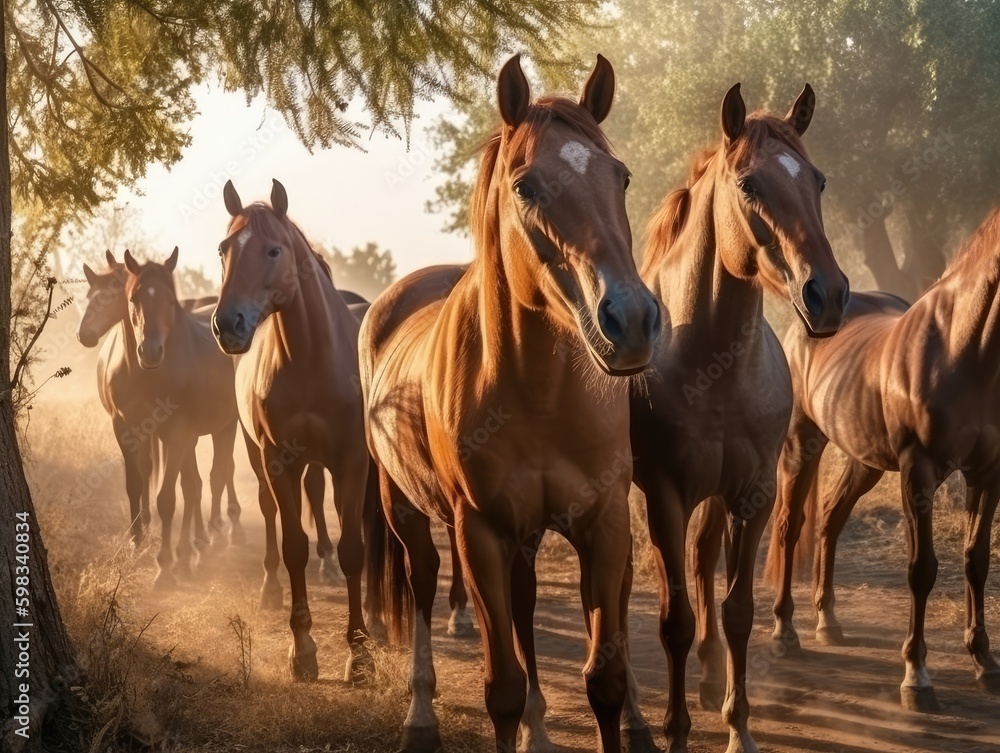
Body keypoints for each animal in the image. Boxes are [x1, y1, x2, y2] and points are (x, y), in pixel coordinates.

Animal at [212, 179, 372, 682]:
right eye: (223, 249)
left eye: (273, 250)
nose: (227, 324)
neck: (313, 357)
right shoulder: (278, 459)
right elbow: (293, 544)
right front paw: (302, 649)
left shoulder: (352, 460)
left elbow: (354, 547)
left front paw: (360, 652)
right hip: (256, 453)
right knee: (270, 512)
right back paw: (270, 588)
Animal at [362, 54, 661, 753]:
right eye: (525, 187)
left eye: (622, 177)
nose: (632, 320)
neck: (539, 391)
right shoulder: (482, 532)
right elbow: (500, 686)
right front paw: (512, 716)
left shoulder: (603, 522)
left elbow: (604, 679)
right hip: (406, 508)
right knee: (422, 582)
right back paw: (422, 714)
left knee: (524, 610)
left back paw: (541, 727)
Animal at [629, 83, 849, 753]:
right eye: (750, 184)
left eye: (818, 181)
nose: (828, 295)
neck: (713, 367)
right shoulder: (665, 496)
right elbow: (674, 618)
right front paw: (676, 732)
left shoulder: (752, 494)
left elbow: (737, 611)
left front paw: (738, 727)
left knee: (705, 561)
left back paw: (708, 677)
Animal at [764, 209, 1000, 711]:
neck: (965, 352)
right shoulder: (919, 471)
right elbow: (922, 568)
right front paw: (916, 676)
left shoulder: (986, 474)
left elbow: (976, 561)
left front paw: (985, 663)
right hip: (801, 443)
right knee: (791, 528)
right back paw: (784, 632)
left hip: (865, 461)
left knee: (831, 518)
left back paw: (828, 621)